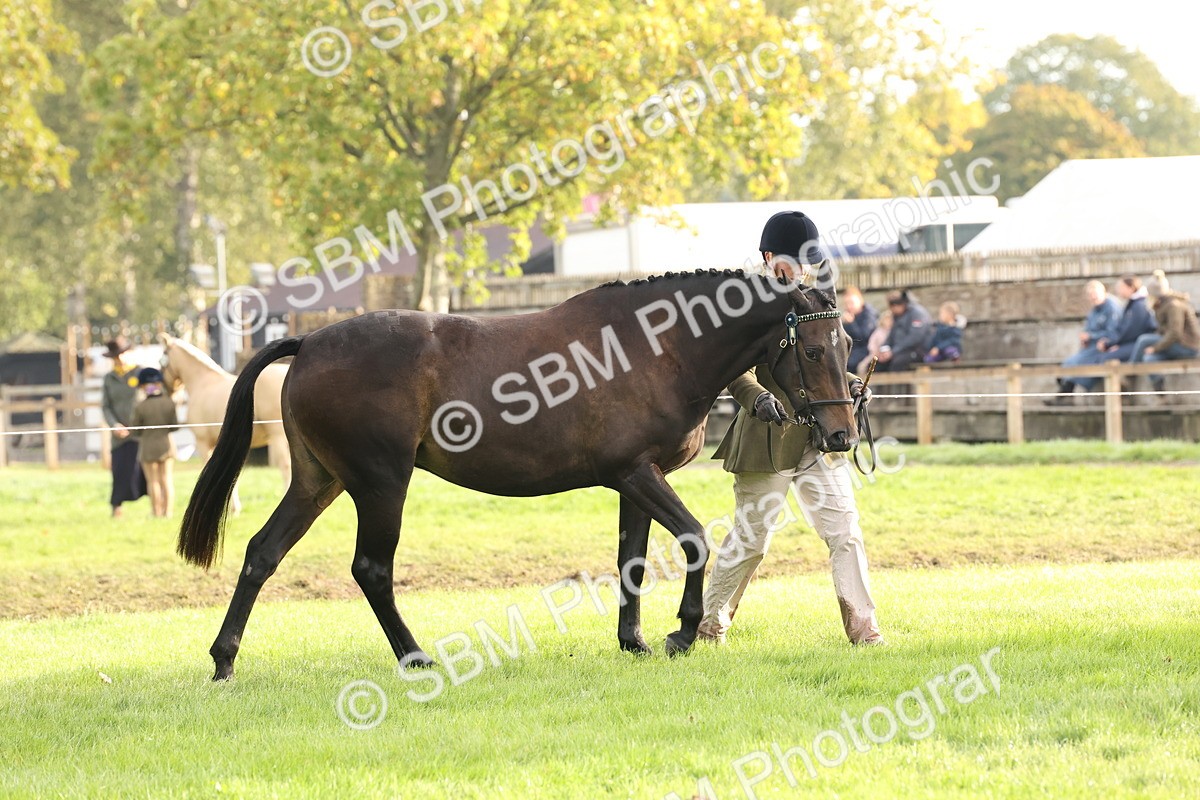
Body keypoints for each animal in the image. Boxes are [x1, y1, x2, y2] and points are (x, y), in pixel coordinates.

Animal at [159, 334, 291, 510]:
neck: (203, 382)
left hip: (278, 436)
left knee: (285, 465)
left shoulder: (203, 443)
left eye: (162, 360)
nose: (166, 391)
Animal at [177, 268, 856, 681]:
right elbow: (692, 539)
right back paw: (415, 656)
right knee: (370, 568)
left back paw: (224, 660)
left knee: (262, 553)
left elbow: (631, 560)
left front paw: (634, 641)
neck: (656, 348)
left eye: (847, 344)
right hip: (380, 483)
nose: (842, 435)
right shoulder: (636, 474)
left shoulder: (634, 481)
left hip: (319, 480)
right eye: (812, 349)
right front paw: (682, 634)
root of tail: (311, 342)